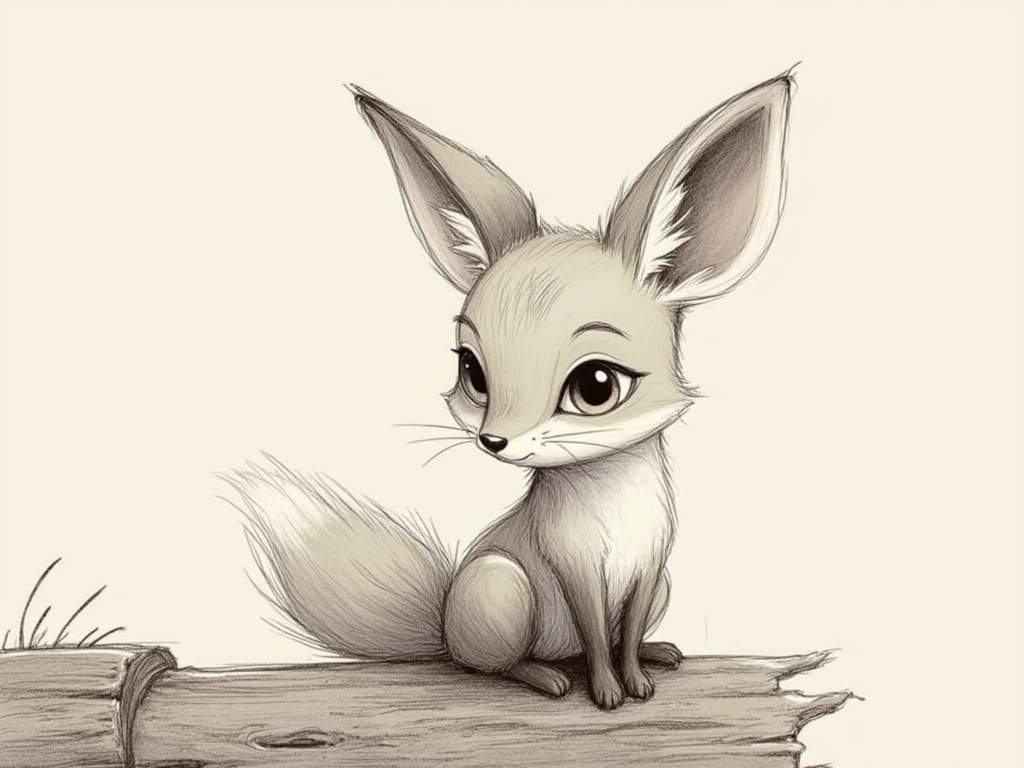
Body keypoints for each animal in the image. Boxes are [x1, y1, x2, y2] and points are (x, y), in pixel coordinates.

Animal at [228, 71, 794, 710]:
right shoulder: (573, 569)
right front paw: (607, 691)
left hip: (656, 588)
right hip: (503, 586)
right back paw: (544, 676)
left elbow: (621, 635)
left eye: (596, 386)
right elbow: (596, 635)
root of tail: (443, 625)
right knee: (490, 664)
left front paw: (637, 679)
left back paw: (653, 651)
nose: (494, 440)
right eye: (474, 372)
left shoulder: (651, 568)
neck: (613, 500)